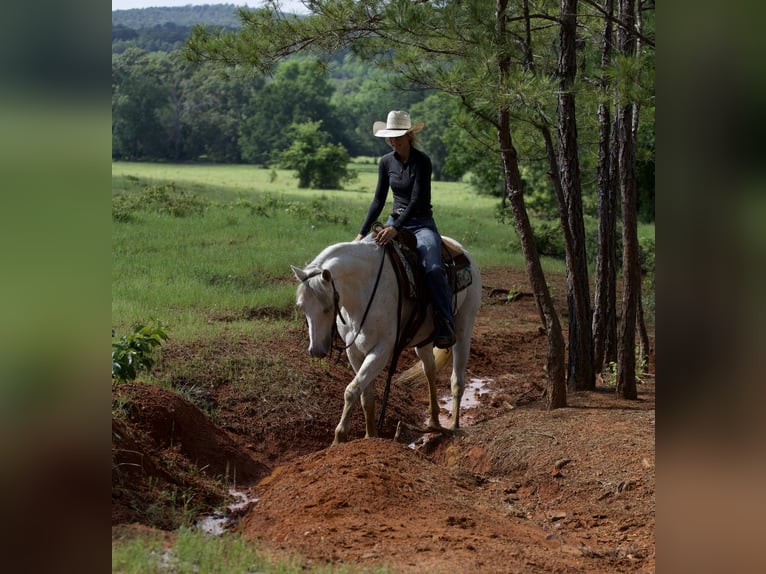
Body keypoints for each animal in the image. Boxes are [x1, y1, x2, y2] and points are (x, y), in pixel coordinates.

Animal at [292, 237, 484, 446]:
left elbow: (351, 390)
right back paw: (433, 421)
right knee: (430, 370)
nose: (316, 350)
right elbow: (365, 396)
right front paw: (370, 435)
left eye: (327, 308)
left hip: (464, 326)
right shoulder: (355, 352)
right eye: (301, 307)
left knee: (457, 380)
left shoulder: (381, 351)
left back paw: (454, 426)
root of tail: (459, 247)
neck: (363, 292)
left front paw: (338, 438)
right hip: (423, 341)